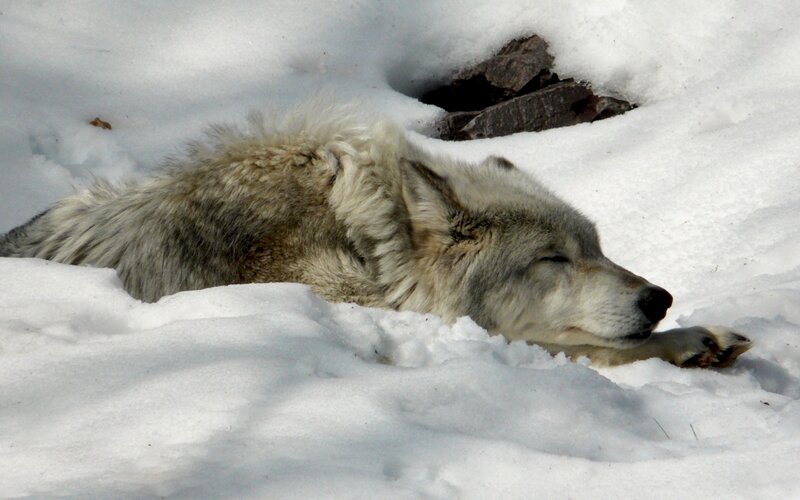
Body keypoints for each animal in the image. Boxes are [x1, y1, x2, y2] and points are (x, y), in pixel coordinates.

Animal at [0, 105, 751, 367]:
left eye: (598, 250)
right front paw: (688, 340)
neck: (367, 241)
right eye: (553, 259)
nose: (659, 297)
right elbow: (574, 345)